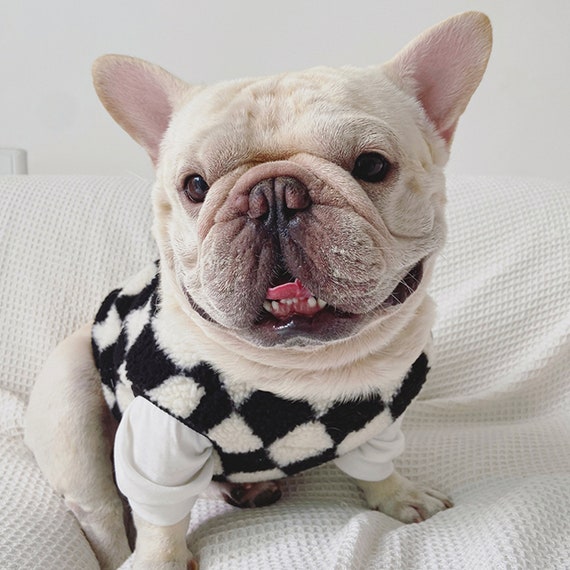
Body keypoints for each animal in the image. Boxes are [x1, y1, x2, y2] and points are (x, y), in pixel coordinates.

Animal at [24, 11, 492, 570]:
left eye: (372, 165)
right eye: (195, 185)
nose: (274, 195)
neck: (305, 373)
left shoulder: (377, 422)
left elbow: (377, 466)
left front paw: (398, 495)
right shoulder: (160, 438)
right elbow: (159, 517)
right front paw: (160, 559)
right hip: (71, 402)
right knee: (102, 512)